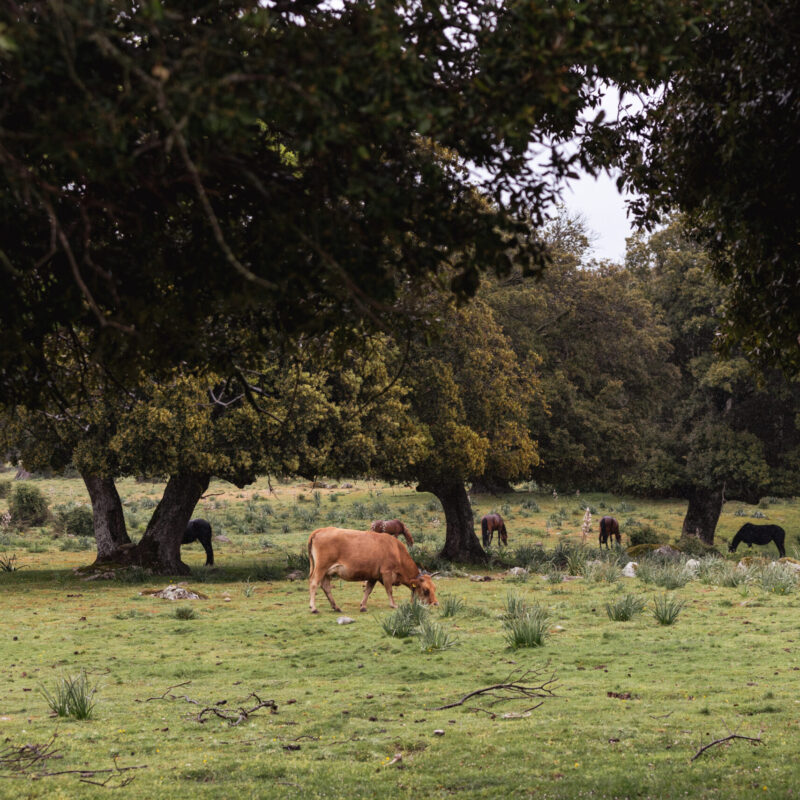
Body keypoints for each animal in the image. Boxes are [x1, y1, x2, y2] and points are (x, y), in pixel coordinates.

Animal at [308, 528, 438, 616]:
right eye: (426, 590)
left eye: (434, 588)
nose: (435, 603)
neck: (396, 550)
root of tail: (321, 530)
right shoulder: (386, 572)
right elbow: (389, 590)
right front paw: (393, 605)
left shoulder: (373, 576)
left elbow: (368, 590)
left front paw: (363, 606)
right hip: (321, 567)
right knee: (314, 583)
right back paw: (314, 608)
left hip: (327, 572)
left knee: (326, 587)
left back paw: (336, 607)